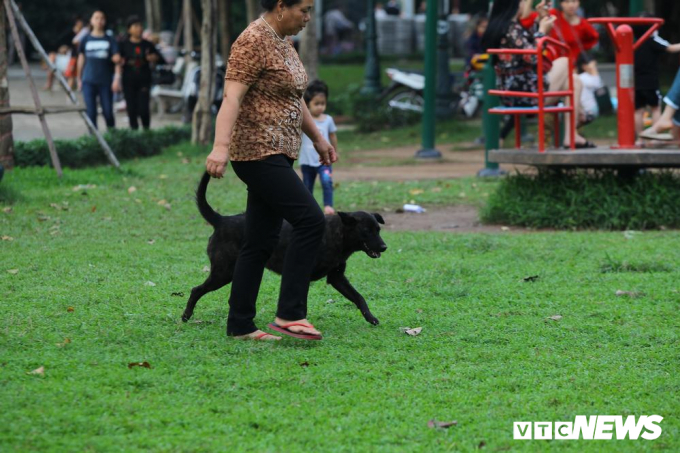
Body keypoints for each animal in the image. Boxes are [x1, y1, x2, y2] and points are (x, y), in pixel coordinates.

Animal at [182, 172, 388, 324]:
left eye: (378, 229)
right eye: (366, 231)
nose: (384, 247)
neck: (337, 235)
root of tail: (221, 220)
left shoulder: (336, 277)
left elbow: (358, 297)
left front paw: (371, 317)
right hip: (223, 272)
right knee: (196, 290)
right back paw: (186, 315)